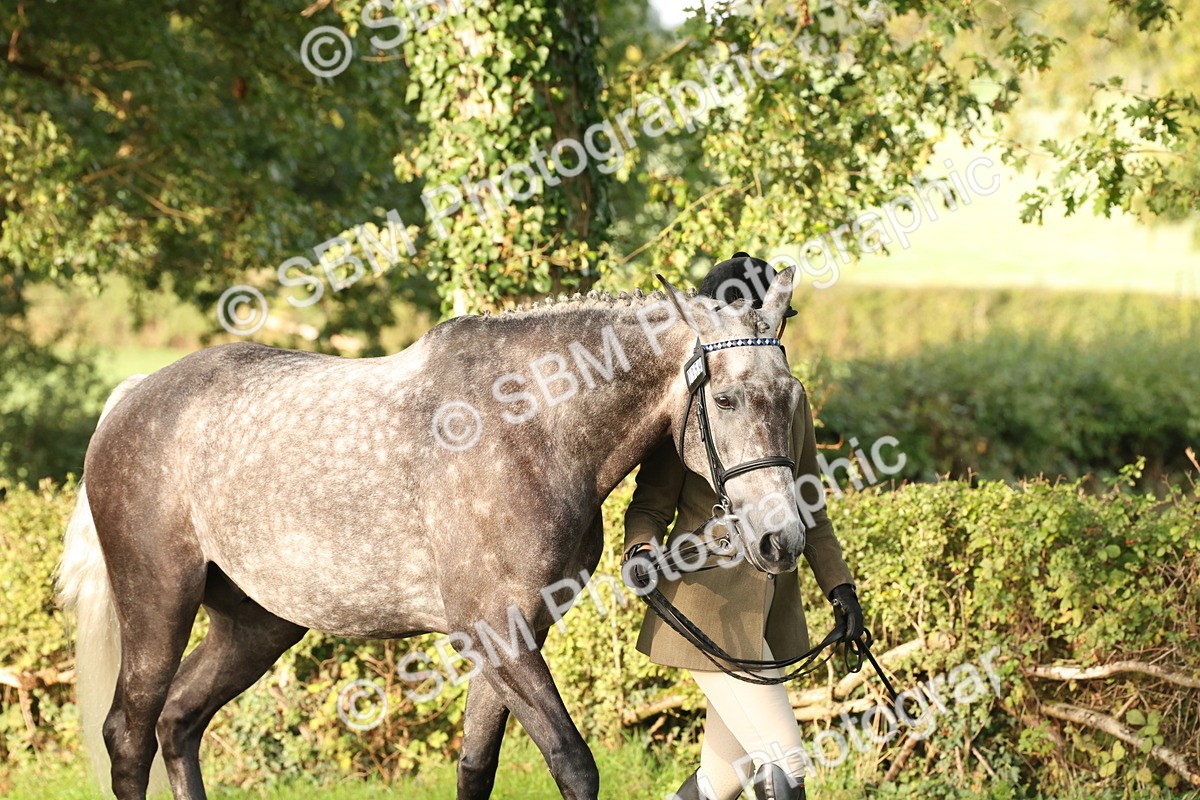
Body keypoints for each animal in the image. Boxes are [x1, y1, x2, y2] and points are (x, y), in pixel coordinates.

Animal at [55, 269, 805, 800]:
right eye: (726, 398)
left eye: (791, 395)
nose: (782, 540)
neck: (527, 427)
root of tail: (133, 396)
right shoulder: (495, 633)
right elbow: (573, 764)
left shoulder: (515, 636)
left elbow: (476, 766)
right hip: (158, 604)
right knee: (129, 736)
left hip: (256, 625)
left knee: (179, 721)